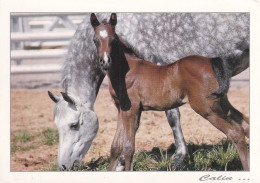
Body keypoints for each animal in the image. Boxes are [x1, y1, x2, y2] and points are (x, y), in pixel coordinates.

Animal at [47, 12, 249, 170]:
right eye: (95, 40)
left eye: (74, 125)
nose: (63, 165)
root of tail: (213, 62)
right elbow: (119, 143)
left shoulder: (137, 101)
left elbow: (138, 137)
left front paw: (177, 158)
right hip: (221, 104)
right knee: (244, 124)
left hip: (206, 107)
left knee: (236, 132)